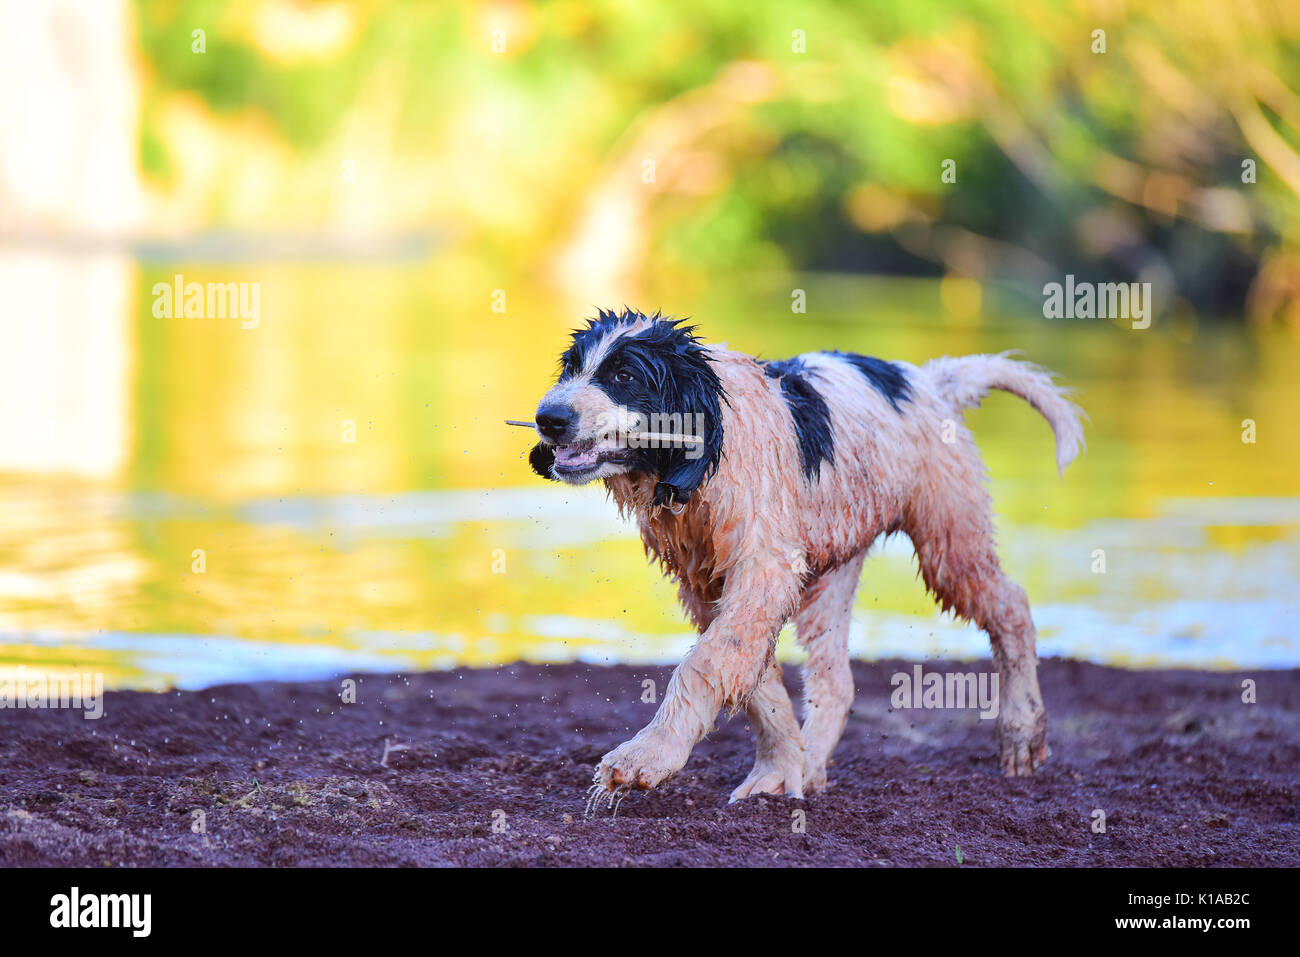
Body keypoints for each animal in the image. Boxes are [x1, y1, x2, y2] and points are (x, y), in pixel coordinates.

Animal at [522, 308, 1081, 800]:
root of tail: (928, 381)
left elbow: (704, 663)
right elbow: (754, 676)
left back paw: (1022, 732)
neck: (704, 457)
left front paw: (646, 757)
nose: (547, 419)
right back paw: (809, 766)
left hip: (950, 538)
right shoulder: (708, 584)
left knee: (1010, 606)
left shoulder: (764, 567)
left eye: (624, 375)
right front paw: (779, 767)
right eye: (571, 367)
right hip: (834, 566)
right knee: (837, 681)